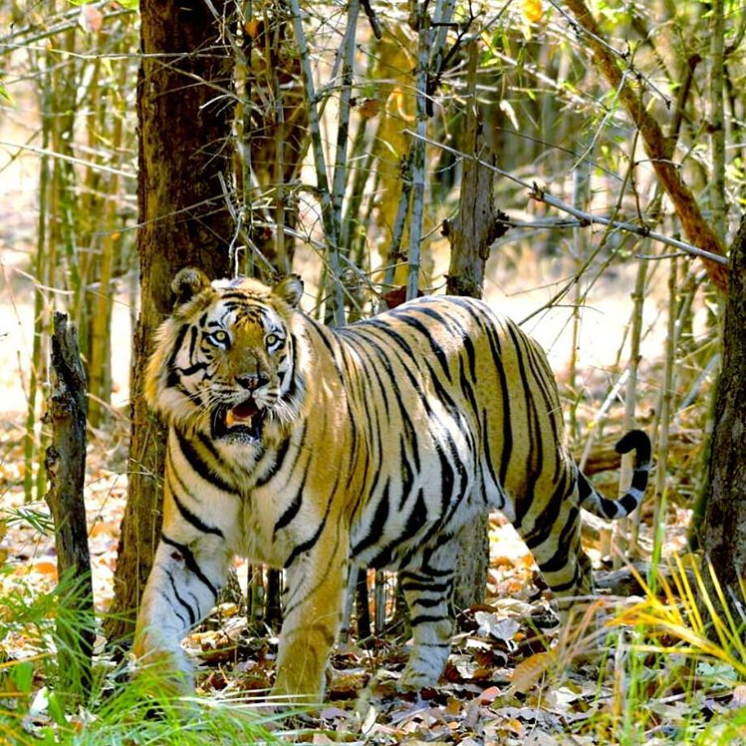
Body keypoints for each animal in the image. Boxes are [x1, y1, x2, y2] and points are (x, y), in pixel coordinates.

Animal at [135, 266, 652, 696]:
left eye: (273, 341)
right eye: (220, 337)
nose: (254, 381)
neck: (239, 460)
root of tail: (504, 318)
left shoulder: (320, 546)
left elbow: (303, 637)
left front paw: (289, 711)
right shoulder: (192, 546)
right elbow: (153, 617)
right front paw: (160, 687)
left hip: (540, 488)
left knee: (579, 579)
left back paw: (576, 663)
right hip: (430, 532)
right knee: (438, 619)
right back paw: (415, 684)